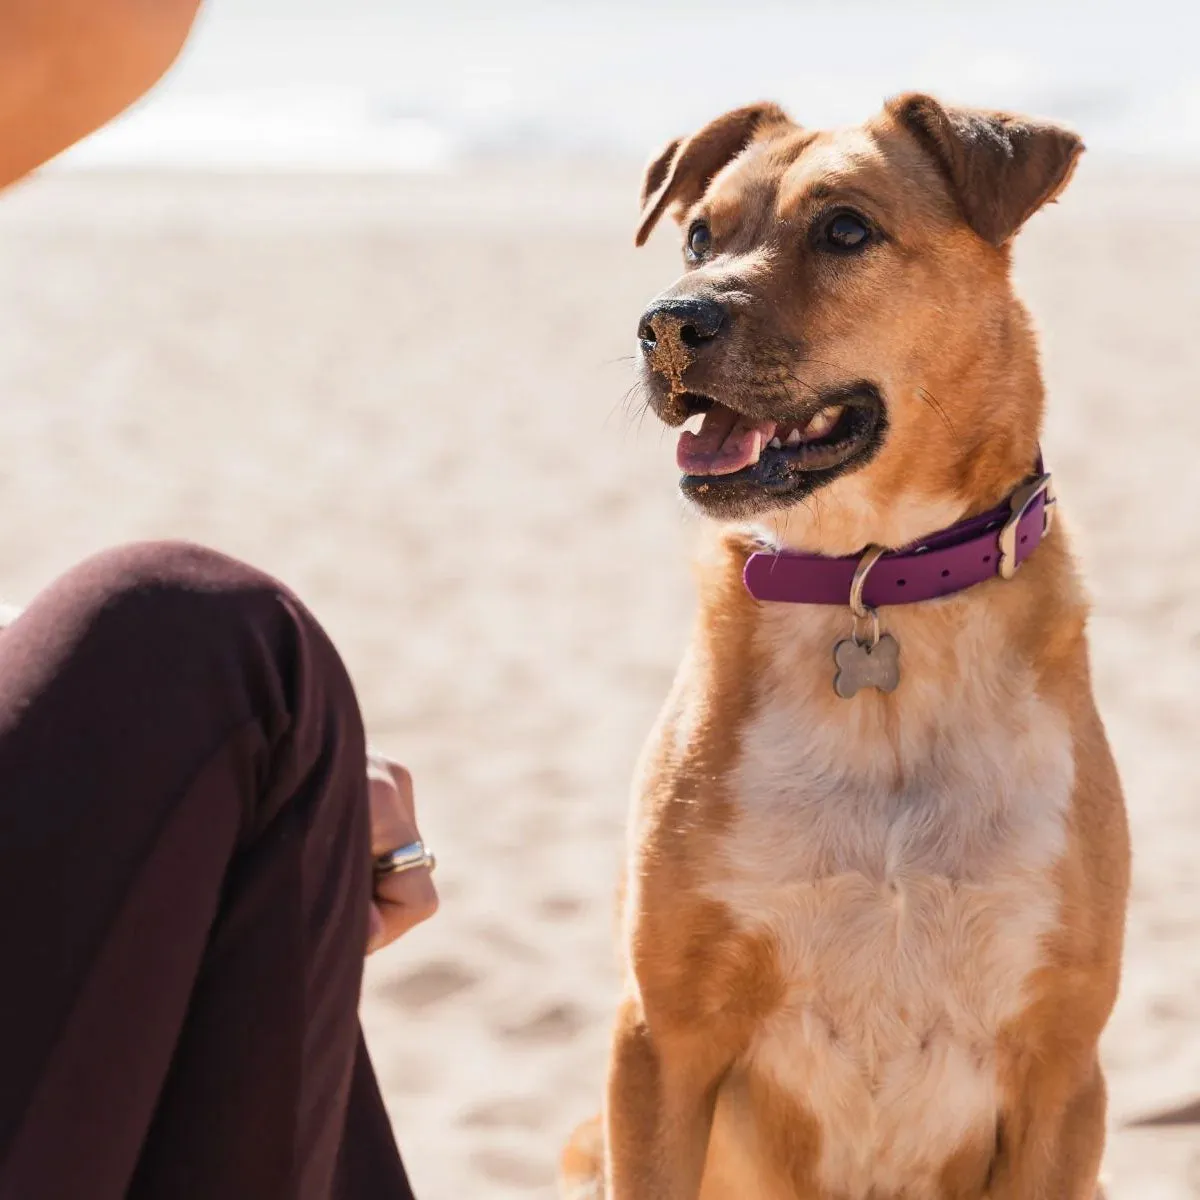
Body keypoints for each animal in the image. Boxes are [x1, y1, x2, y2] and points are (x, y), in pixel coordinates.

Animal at [559, 96, 1123, 1200]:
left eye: (846, 230)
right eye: (700, 235)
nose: (666, 323)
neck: (870, 583)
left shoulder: (1061, 1071)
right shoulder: (659, 1042)